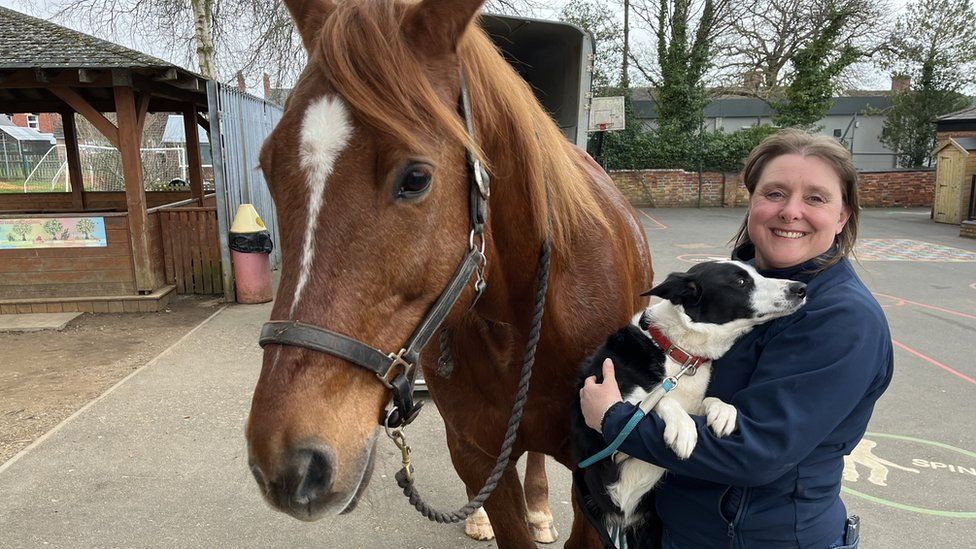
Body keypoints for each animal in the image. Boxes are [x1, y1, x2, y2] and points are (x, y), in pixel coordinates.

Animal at [568, 260, 804, 544]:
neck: (679, 353)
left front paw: (724, 412)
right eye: (740, 282)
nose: (801, 288)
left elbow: (707, 399)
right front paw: (682, 428)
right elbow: (656, 399)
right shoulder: (608, 429)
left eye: (758, 273)